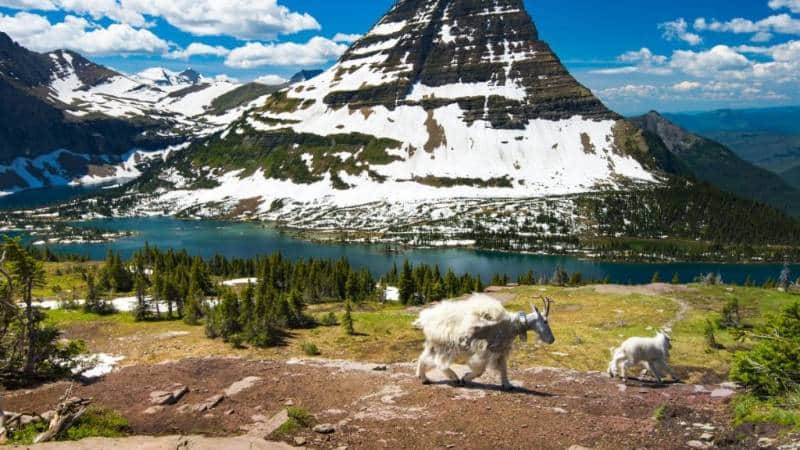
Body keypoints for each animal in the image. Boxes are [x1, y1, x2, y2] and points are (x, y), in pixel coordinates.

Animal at [416, 294, 552, 388]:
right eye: (545, 321)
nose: (552, 339)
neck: (511, 326)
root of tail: (426, 319)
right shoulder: (484, 350)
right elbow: (480, 370)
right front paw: (465, 378)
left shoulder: (501, 350)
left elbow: (503, 368)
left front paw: (508, 385)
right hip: (446, 345)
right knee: (439, 362)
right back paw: (454, 377)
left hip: (433, 344)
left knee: (423, 358)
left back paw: (423, 378)